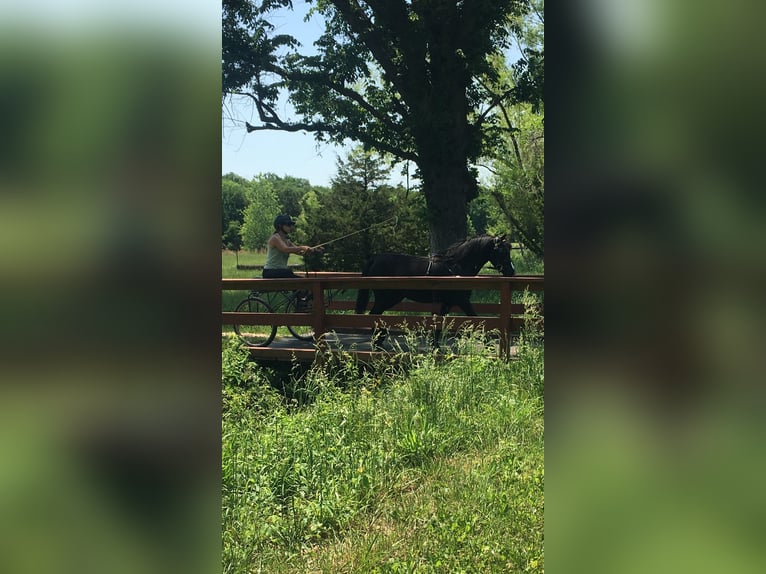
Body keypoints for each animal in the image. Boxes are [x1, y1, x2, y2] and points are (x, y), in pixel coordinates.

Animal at [354, 235, 515, 344]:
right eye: (501, 252)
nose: (511, 271)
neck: (455, 268)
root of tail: (374, 258)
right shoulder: (459, 301)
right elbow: (475, 321)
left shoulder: (449, 303)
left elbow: (440, 327)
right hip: (386, 298)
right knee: (373, 316)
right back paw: (377, 341)